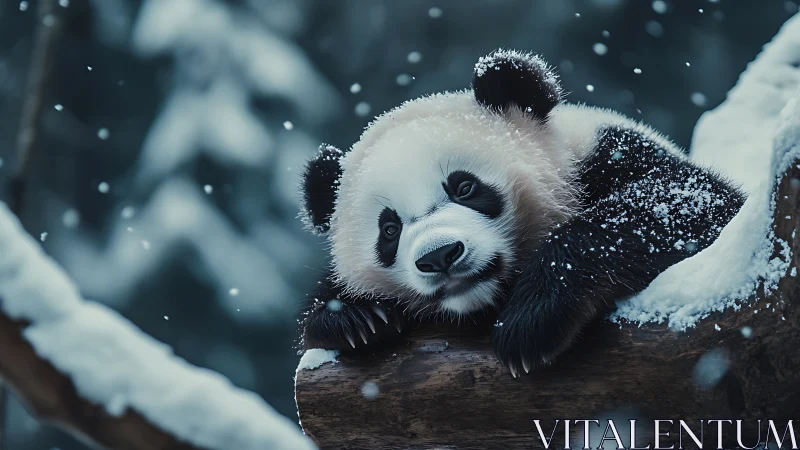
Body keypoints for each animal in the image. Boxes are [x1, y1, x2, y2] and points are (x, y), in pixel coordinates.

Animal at [298, 49, 745, 376]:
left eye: (464, 187)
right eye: (389, 230)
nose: (439, 256)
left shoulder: (610, 154)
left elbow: (690, 203)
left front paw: (531, 323)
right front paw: (356, 316)